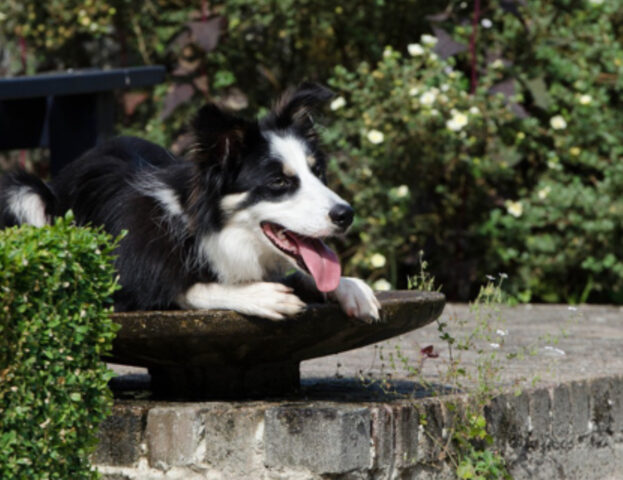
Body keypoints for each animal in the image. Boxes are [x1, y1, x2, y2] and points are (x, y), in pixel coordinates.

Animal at [0, 83, 380, 322]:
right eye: (279, 182)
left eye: (318, 172)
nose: (346, 215)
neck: (201, 228)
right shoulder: (114, 281)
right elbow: (183, 288)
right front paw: (261, 295)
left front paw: (352, 288)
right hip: (22, 193)